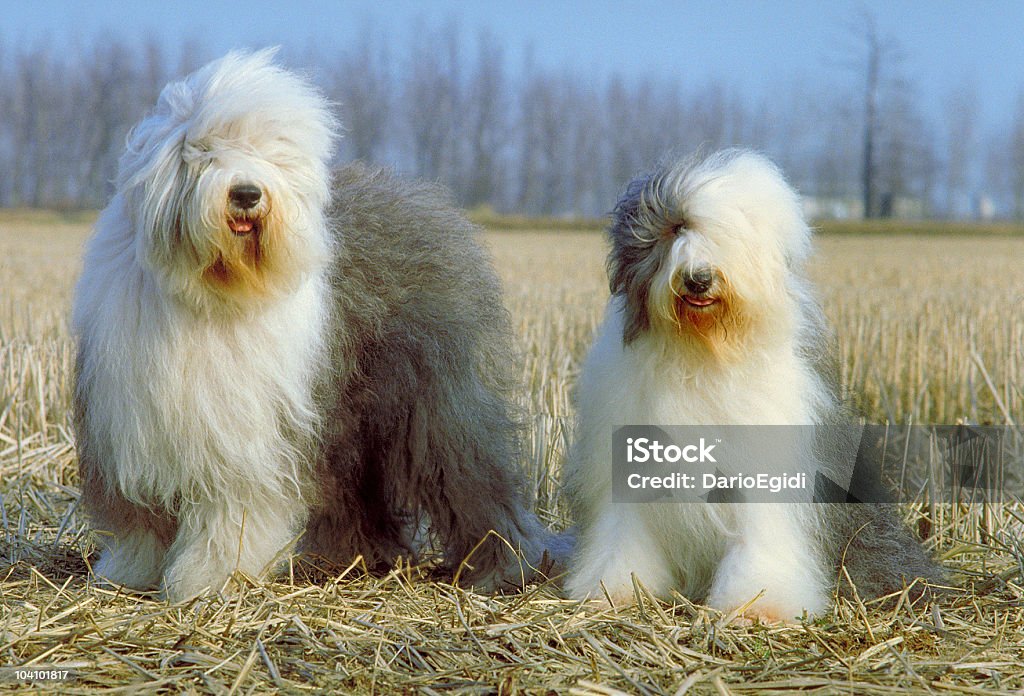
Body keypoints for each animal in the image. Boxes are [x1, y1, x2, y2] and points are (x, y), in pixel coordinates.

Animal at [74, 50, 569, 601]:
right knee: (361, 494)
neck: (214, 292)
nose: (247, 194)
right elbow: (141, 520)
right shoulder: (136, 427)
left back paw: (506, 569)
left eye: (269, 156)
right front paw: (129, 572)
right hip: (354, 418)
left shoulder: (244, 442)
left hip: (440, 408)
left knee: (478, 485)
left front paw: (207, 580)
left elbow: (229, 516)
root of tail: (429, 201)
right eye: (204, 152)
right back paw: (359, 558)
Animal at [569, 150, 942, 618]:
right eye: (675, 230)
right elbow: (623, 533)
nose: (698, 278)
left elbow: (761, 537)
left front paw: (757, 604)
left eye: (731, 237)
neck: (703, 354)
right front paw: (613, 589)